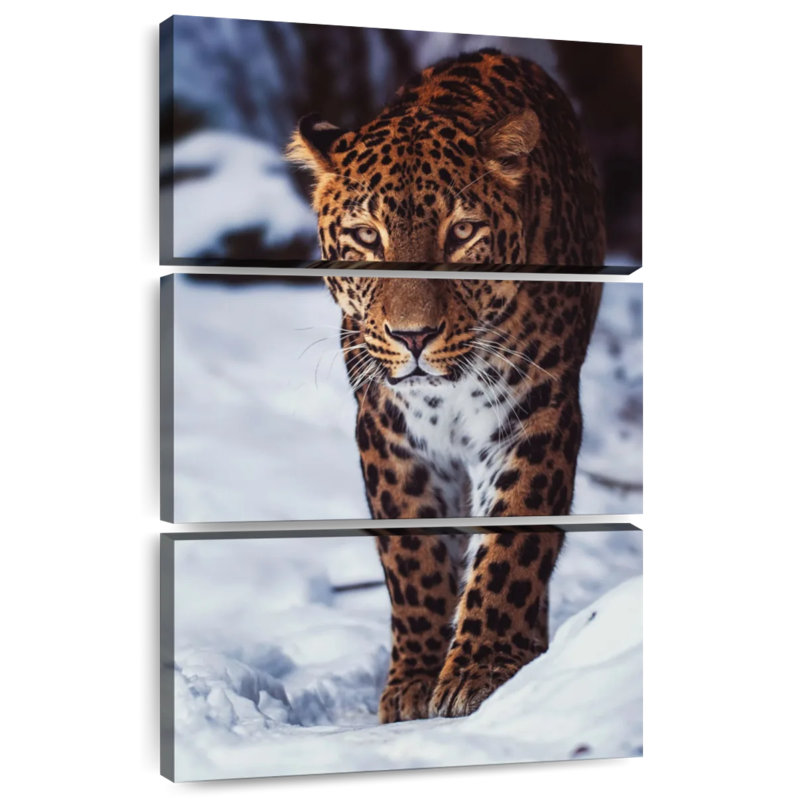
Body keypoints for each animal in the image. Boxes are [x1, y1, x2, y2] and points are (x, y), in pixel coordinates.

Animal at [323, 274, 601, 720]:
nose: (413, 337)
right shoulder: (389, 428)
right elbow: (414, 562)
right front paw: (414, 683)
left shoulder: (534, 415)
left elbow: (510, 552)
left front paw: (479, 672)